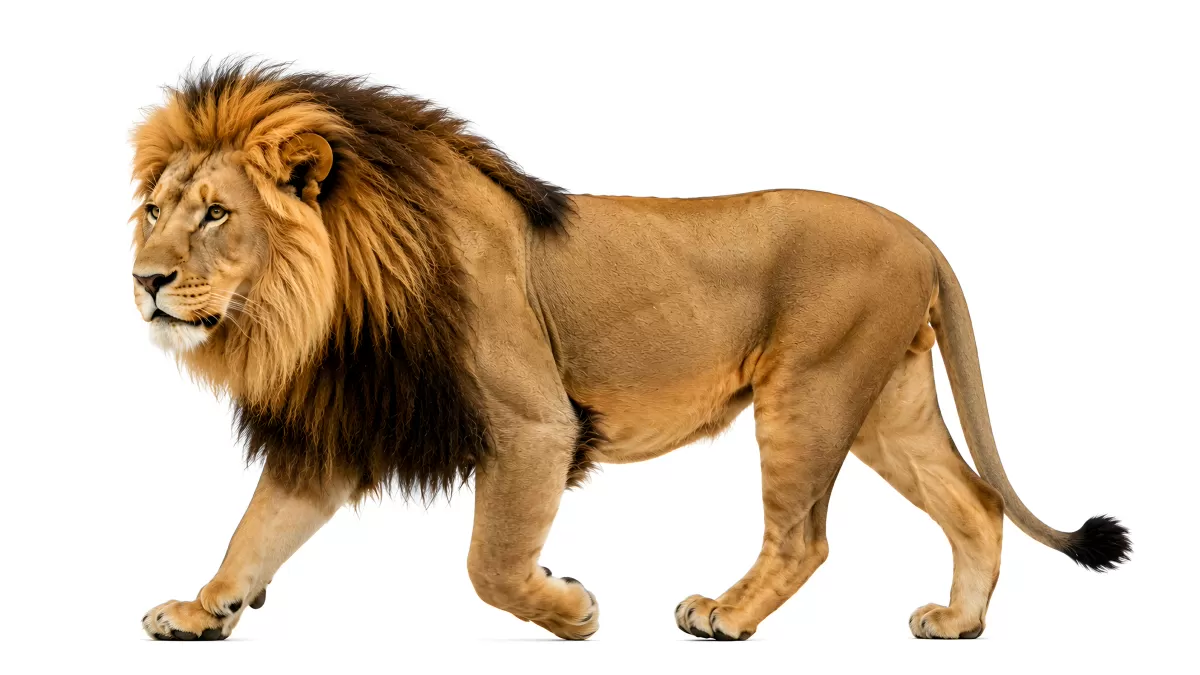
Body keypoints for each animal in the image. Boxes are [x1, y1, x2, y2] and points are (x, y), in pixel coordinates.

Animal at [130, 61, 1130, 642]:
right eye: (153, 208)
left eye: (216, 213)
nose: (144, 279)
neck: (330, 311)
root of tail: (920, 234)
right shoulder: (341, 428)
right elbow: (255, 529)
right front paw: (204, 606)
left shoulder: (534, 425)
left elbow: (491, 563)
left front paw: (570, 606)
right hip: (889, 402)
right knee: (974, 504)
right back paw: (959, 620)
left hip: (811, 392)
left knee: (805, 536)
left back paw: (724, 614)